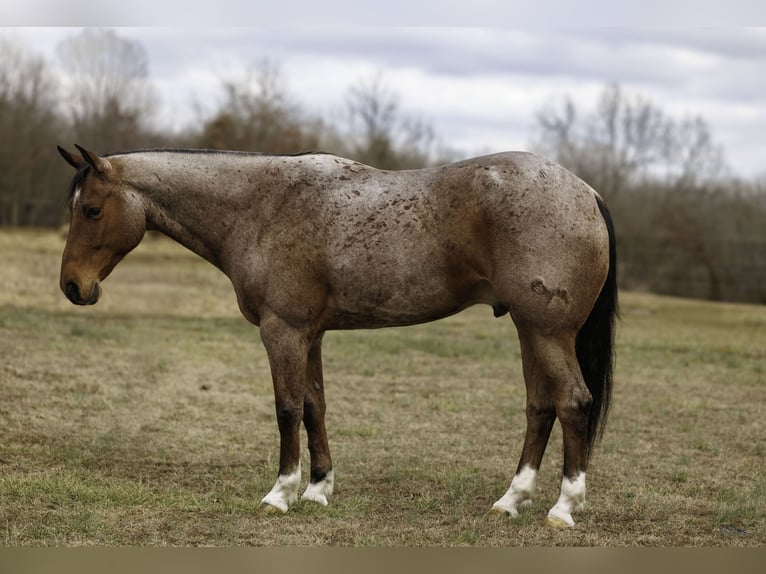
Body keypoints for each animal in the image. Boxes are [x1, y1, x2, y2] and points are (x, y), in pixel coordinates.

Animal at [57, 144, 617, 527]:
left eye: (91, 210)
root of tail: (587, 192)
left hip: (547, 333)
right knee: (540, 408)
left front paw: (280, 493)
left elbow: (286, 408)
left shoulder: (282, 331)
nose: (72, 286)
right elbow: (314, 407)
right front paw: (317, 489)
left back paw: (564, 508)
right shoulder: (312, 335)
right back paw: (511, 500)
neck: (262, 206)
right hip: (530, 331)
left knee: (573, 402)